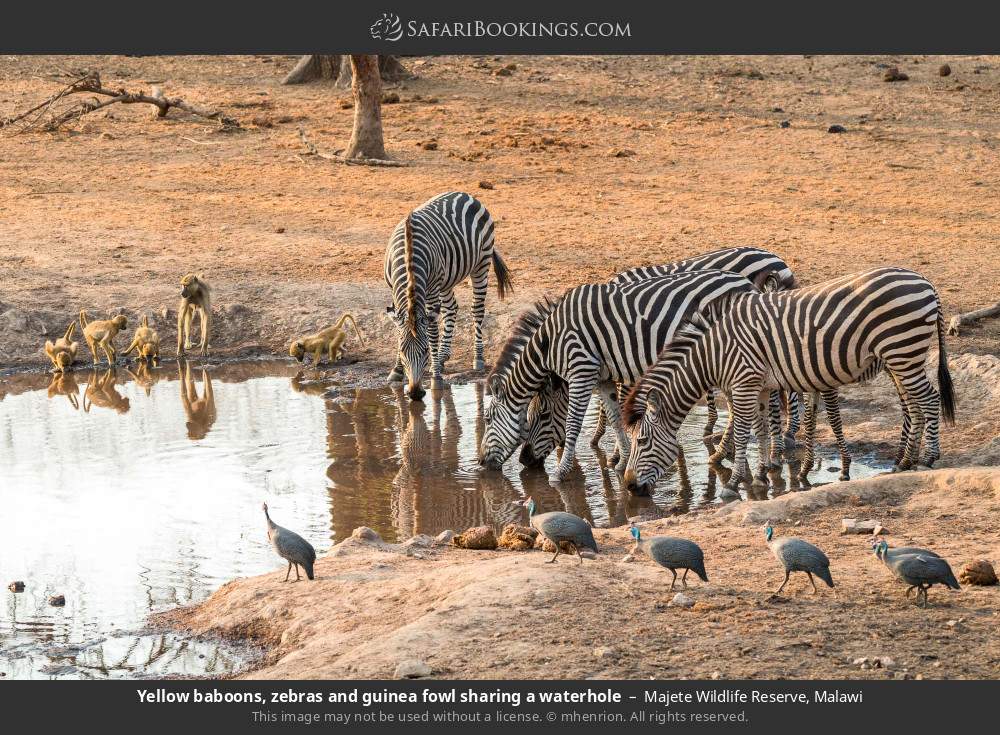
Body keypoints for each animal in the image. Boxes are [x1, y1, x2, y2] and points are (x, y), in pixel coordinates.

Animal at [385, 192, 513, 401]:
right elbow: (399, 329)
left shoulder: (431, 290)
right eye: (403, 351)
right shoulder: (393, 290)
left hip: (481, 265)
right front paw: (396, 370)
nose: (415, 394)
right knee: (451, 308)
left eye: (425, 351)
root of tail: (466, 194)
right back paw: (443, 355)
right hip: (447, 279)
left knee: (477, 309)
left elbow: (432, 332)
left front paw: (436, 376)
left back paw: (477, 357)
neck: (408, 255)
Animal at [478, 270, 759, 483]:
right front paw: (622, 462)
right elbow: (614, 418)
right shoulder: (602, 378)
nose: (480, 461)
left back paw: (725, 453)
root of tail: (746, 283)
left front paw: (560, 473)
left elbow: (573, 425)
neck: (549, 342)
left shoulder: (581, 370)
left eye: (489, 419)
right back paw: (724, 452)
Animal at [621, 267, 956, 494]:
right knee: (914, 405)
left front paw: (733, 481)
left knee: (929, 399)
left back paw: (928, 457)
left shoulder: (744, 383)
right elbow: (759, 430)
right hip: (900, 357)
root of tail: (926, 282)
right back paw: (904, 461)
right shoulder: (758, 386)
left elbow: (742, 432)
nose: (628, 486)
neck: (714, 352)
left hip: (903, 350)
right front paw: (760, 474)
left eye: (641, 441)